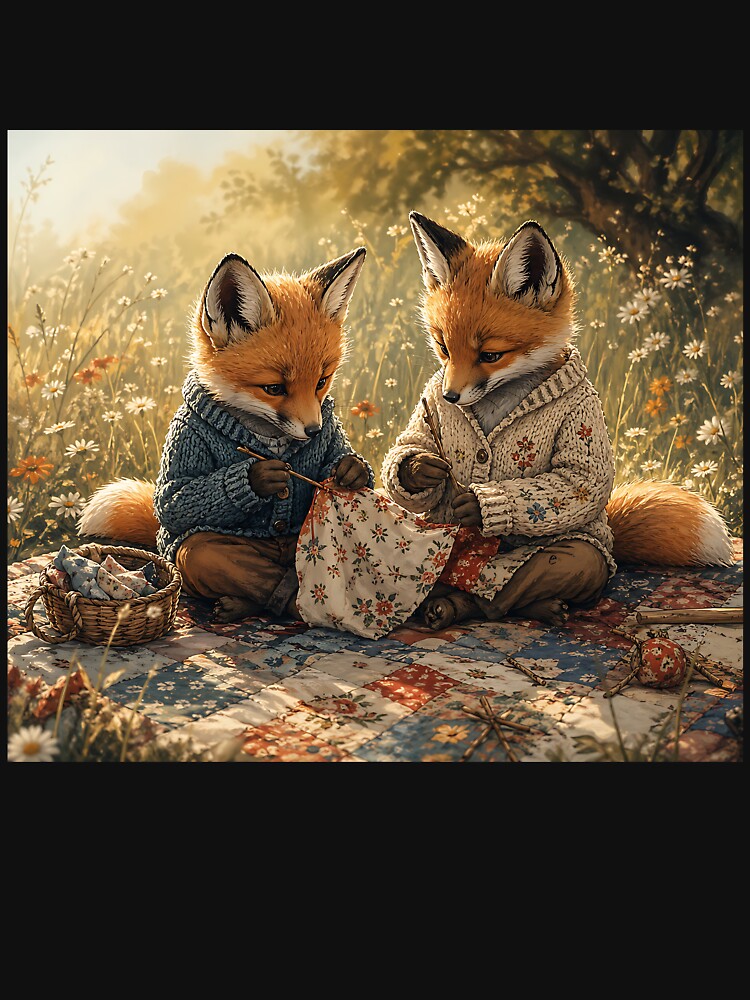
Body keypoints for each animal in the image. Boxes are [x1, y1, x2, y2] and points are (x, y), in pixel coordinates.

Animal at [79, 247, 373, 622]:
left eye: (321, 381)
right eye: (274, 388)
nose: (313, 431)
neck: (263, 431)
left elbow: (336, 456)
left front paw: (352, 469)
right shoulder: (187, 434)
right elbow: (175, 498)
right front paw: (260, 476)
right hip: (193, 552)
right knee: (208, 555)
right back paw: (273, 602)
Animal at [380, 212, 734, 630]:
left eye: (490, 355)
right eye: (443, 348)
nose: (450, 397)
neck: (499, 401)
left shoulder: (583, 417)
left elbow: (579, 479)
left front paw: (478, 506)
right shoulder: (429, 409)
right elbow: (410, 446)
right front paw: (420, 468)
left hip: (579, 557)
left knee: (509, 595)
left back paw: (507, 607)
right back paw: (443, 604)